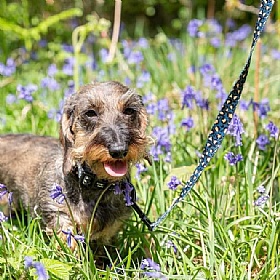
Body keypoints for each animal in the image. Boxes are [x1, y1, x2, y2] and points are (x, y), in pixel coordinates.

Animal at [0, 81, 149, 252]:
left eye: (129, 110)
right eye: (90, 113)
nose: (119, 150)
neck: (93, 185)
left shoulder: (109, 231)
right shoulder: (59, 215)